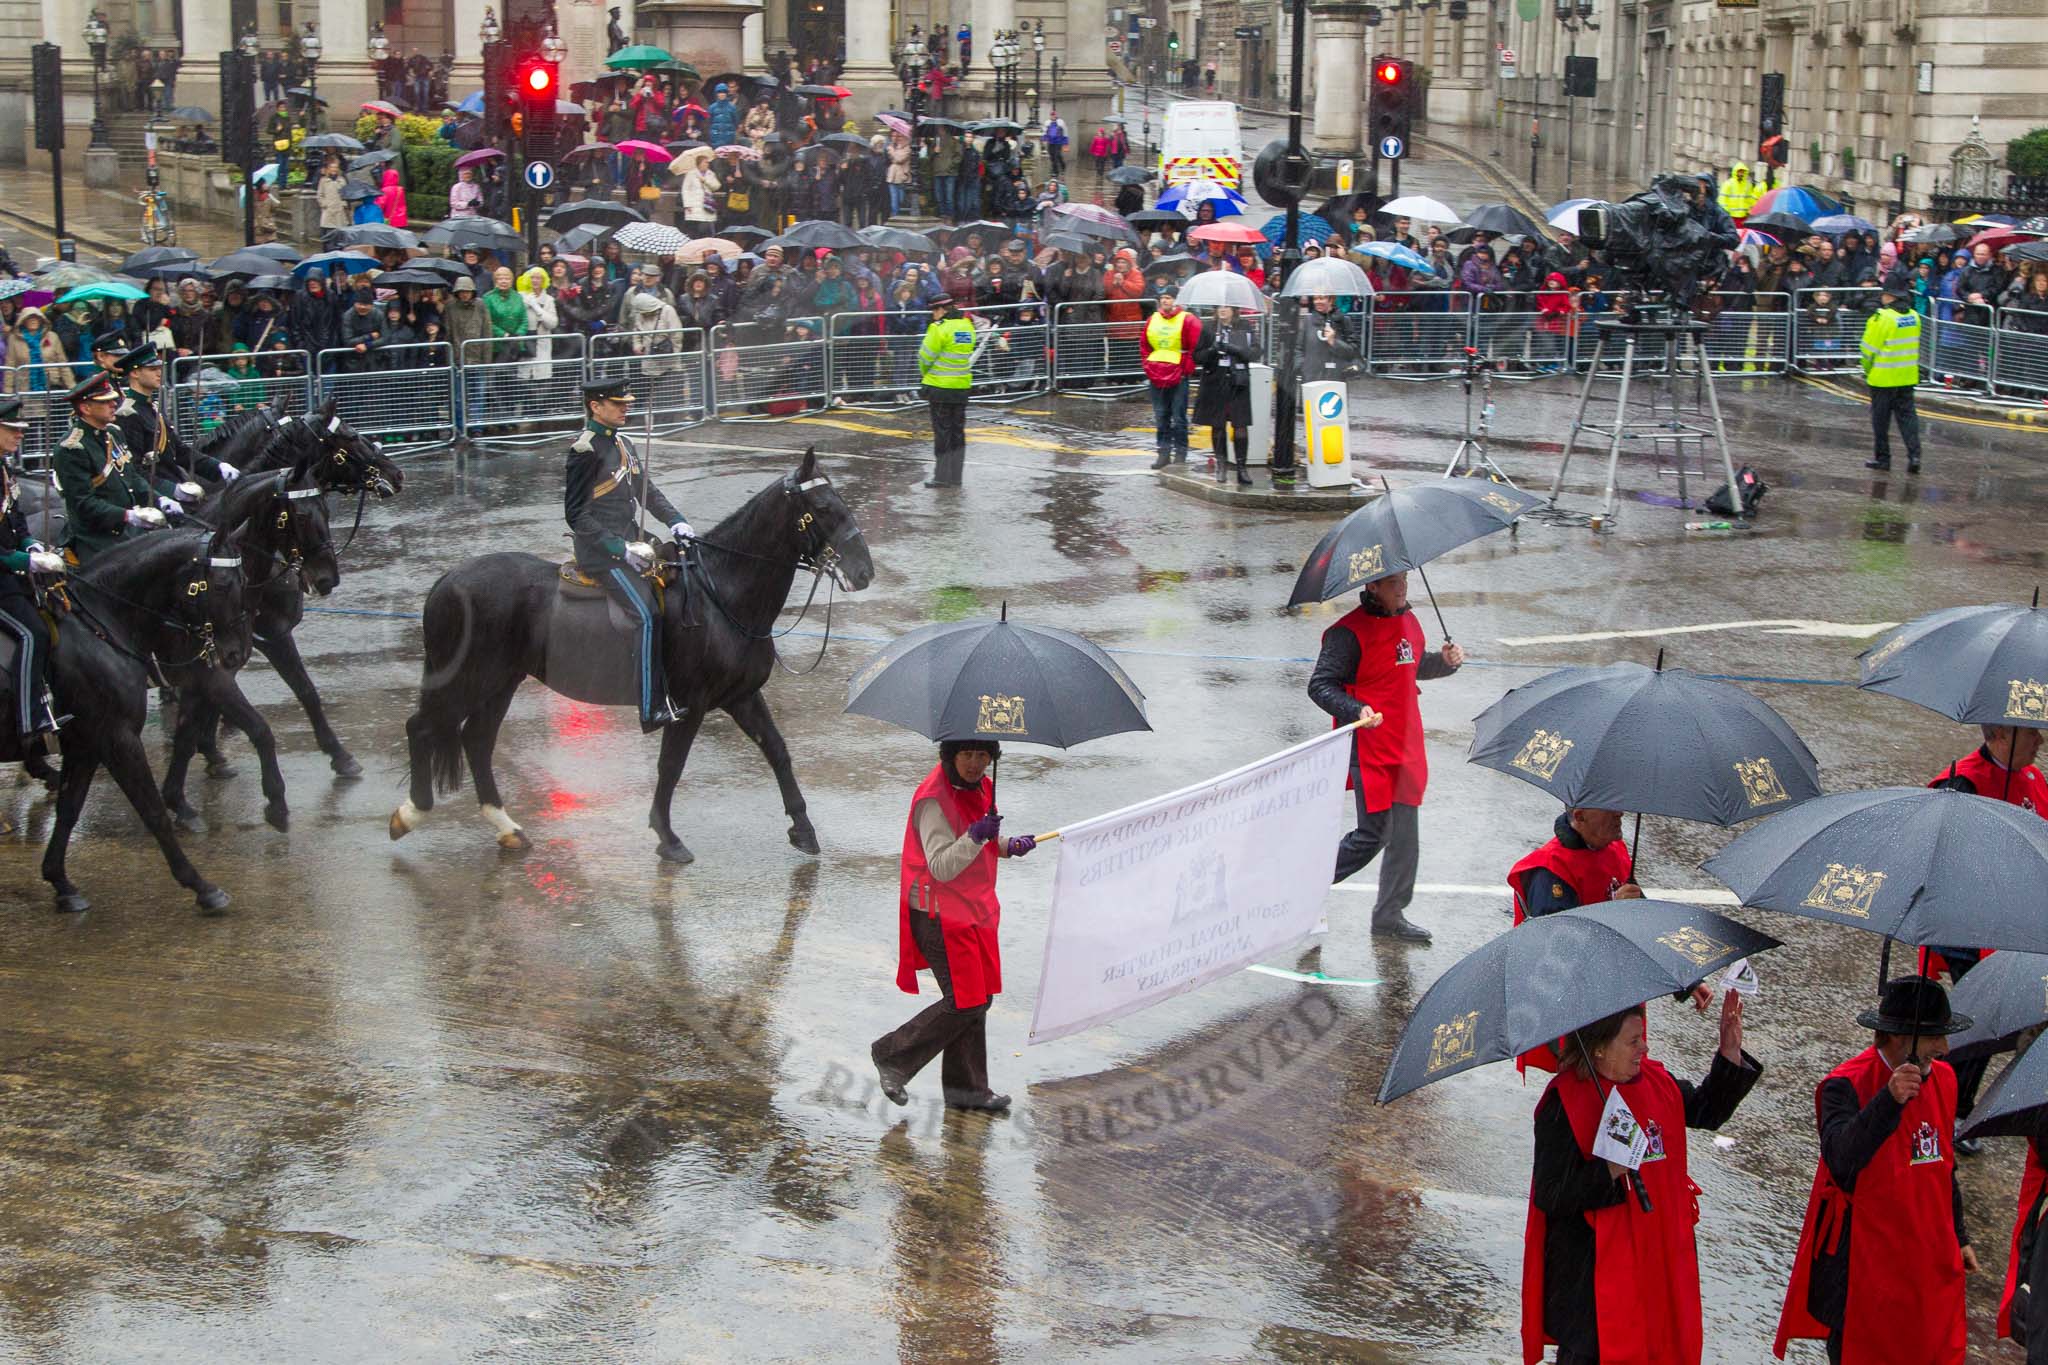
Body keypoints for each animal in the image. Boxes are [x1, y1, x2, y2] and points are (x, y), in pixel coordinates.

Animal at [43, 523, 254, 916]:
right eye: (221, 584)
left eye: (245, 579)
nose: (238, 651)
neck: (100, 625)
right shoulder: (117, 736)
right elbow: (152, 810)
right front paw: (202, 886)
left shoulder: (85, 740)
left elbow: (69, 807)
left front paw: (60, 882)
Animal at [391, 448, 872, 863]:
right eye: (823, 506)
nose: (864, 572)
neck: (723, 596)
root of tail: (448, 580)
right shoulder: (689, 705)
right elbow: (671, 766)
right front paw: (667, 836)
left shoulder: (741, 696)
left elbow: (777, 750)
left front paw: (803, 829)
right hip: (469, 678)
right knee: (421, 728)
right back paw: (410, 813)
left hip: (501, 683)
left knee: (477, 740)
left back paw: (506, 826)